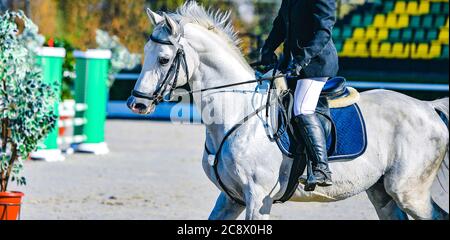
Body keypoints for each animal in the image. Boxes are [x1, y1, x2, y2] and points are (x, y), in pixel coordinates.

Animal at [128, 2, 448, 219]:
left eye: (164, 59)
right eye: (145, 53)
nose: (137, 103)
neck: (236, 115)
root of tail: (427, 107)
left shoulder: (258, 198)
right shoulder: (230, 198)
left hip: (408, 191)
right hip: (382, 192)